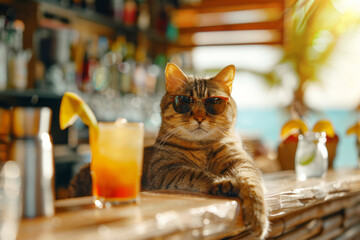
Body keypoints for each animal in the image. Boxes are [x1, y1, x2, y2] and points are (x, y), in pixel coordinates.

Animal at [145, 62, 268, 238]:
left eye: (214, 102)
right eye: (184, 101)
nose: (199, 117)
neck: (202, 145)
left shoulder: (242, 162)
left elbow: (252, 184)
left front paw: (258, 216)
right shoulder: (164, 169)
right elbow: (197, 174)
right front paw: (222, 183)